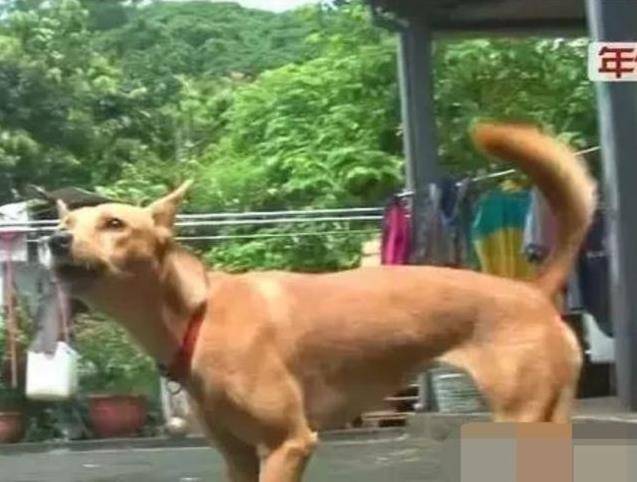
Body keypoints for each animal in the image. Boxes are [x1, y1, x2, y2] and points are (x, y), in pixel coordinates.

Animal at [49, 123, 595, 482]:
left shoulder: (288, 443)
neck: (198, 314)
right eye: (66, 224)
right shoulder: (238, 457)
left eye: (114, 224)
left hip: (520, 422)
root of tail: (532, 289)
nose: (54, 241)